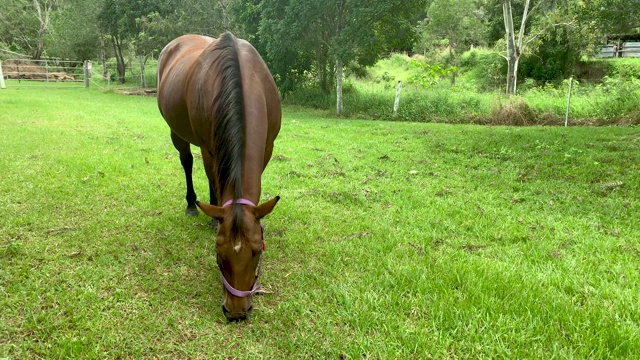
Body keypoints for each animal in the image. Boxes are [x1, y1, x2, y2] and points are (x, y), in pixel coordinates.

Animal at [157, 33, 280, 320]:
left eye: (256, 251)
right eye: (217, 253)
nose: (236, 312)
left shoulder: (267, 147)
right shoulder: (208, 147)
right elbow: (212, 177)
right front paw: (211, 215)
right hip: (178, 133)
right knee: (188, 162)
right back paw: (193, 204)